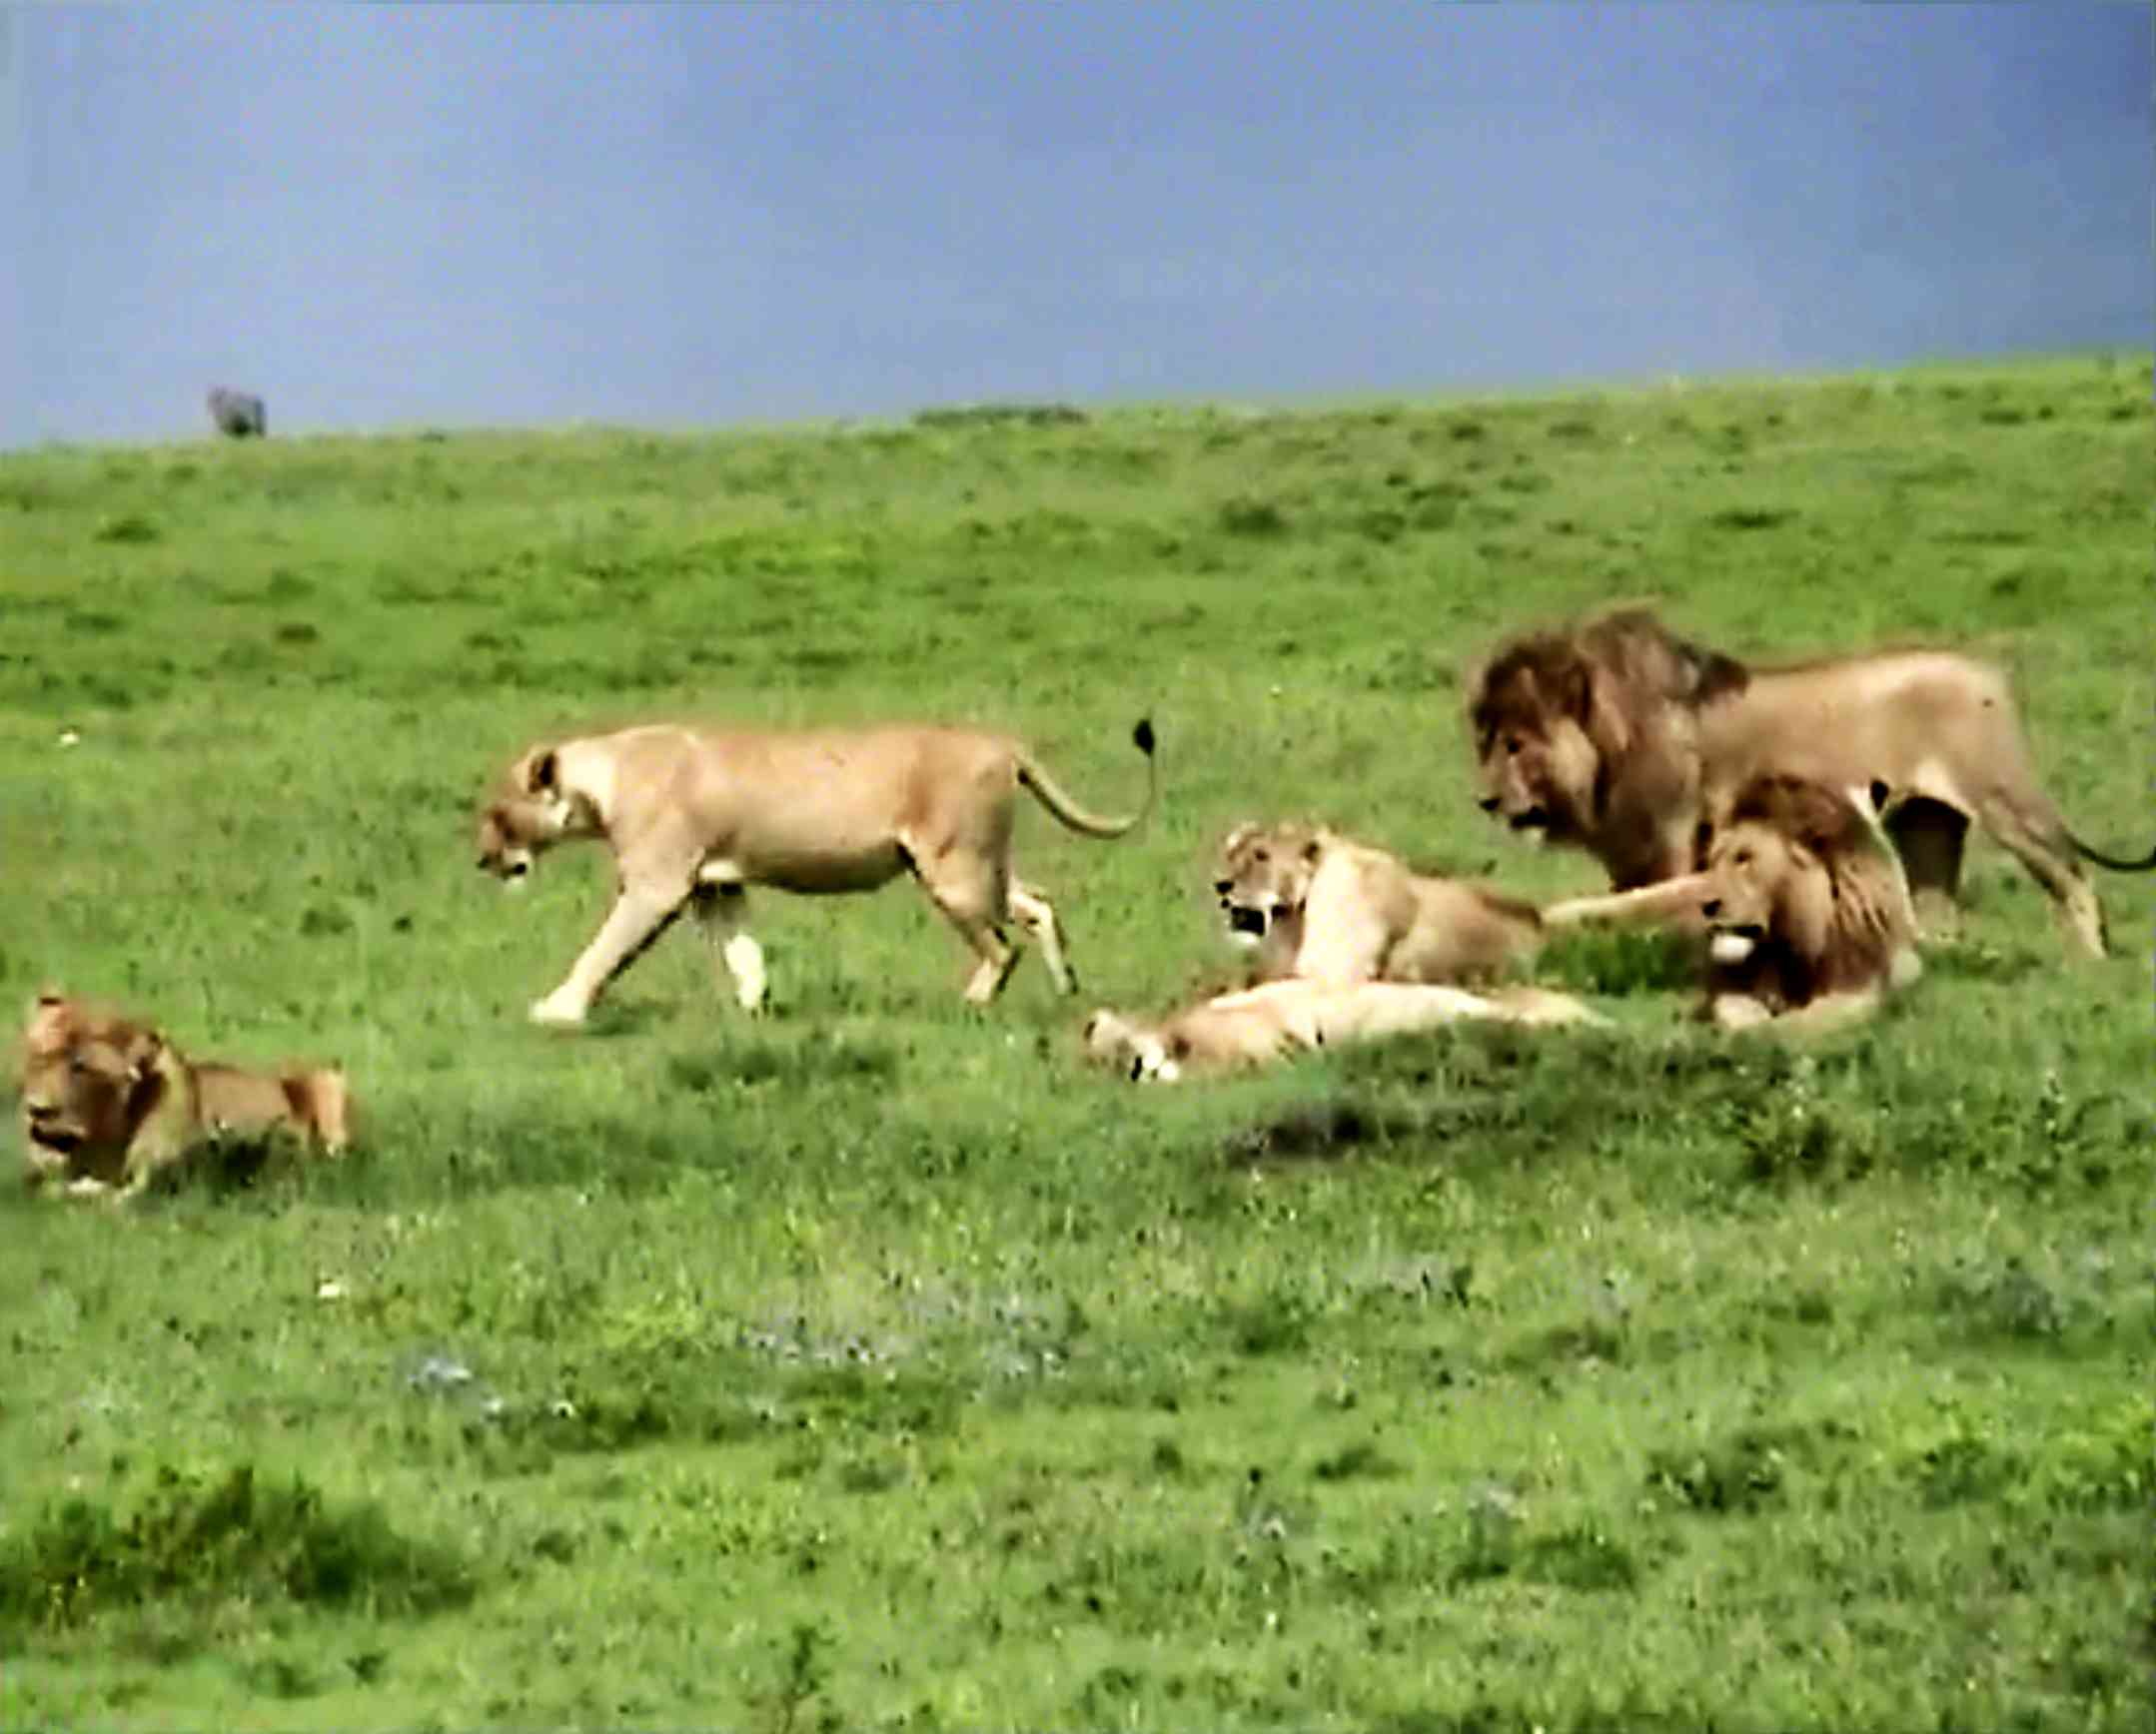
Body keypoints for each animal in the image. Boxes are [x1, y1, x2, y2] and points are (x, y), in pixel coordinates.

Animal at [19, 993, 351, 1202]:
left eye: (80, 1067)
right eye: (37, 1058)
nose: (36, 1109)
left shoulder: (152, 1187)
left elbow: (101, 1196)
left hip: (326, 1078)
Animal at [476, 718, 1156, 1026]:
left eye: (498, 813)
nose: (483, 859)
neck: (600, 779)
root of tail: (1002, 743)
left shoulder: (656, 886)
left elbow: (602, 951)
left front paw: (558, 1009)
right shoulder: (717, 885)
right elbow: (742, 952)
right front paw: (753, 1009)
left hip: (952, 871)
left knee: (1002, 946)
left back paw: (972, 1002)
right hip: (979, 862)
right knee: (1037, 905)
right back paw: (1067, 987)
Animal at [1467, 607, 2153, 958]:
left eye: (1516, 744)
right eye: (1487, 742)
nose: (1485, 800)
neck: (1609, 746)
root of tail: (1989, 671)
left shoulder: (1669, 841)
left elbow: (1659, 905)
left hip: (2005, 802)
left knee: (2074, 880)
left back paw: (2090, 961)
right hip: (1925, 823)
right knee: (1938, 909)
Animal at [1697, 774, 1923, 1033]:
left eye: (1744, 858)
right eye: (1713, 861)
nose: (1706, 905)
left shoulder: (1856, 986)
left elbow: (1797, 1023)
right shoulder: (1729, 986)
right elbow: (1732, 1011)